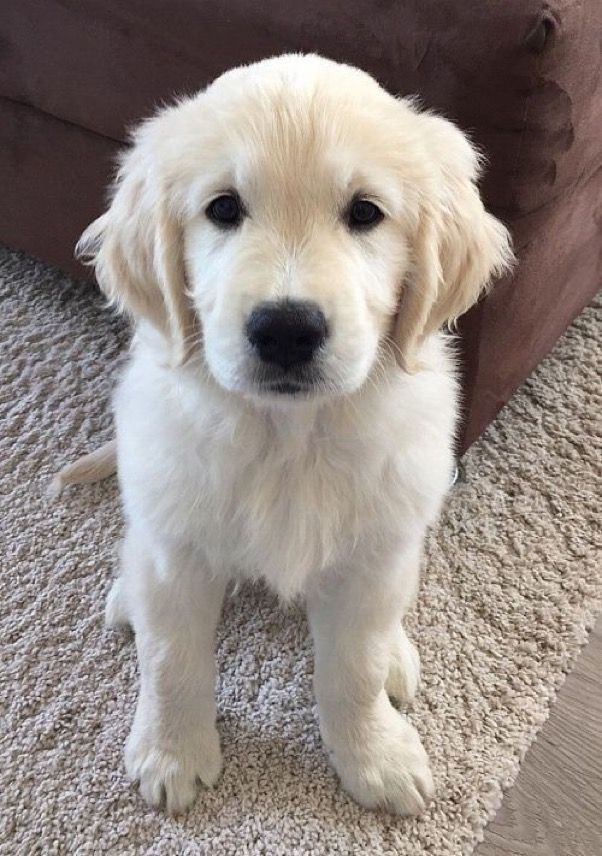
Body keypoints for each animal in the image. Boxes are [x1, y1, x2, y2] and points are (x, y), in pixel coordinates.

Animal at [67, 53, 510, 816]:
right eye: (223, 208)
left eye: (365, 212)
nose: (286, 329)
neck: (288, 437)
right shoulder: (178, 548)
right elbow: (172, 658)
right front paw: (172, 751)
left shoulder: (370, 559)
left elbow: (355, 667)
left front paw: (373, 755)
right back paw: (127, 597)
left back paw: (398, 656)